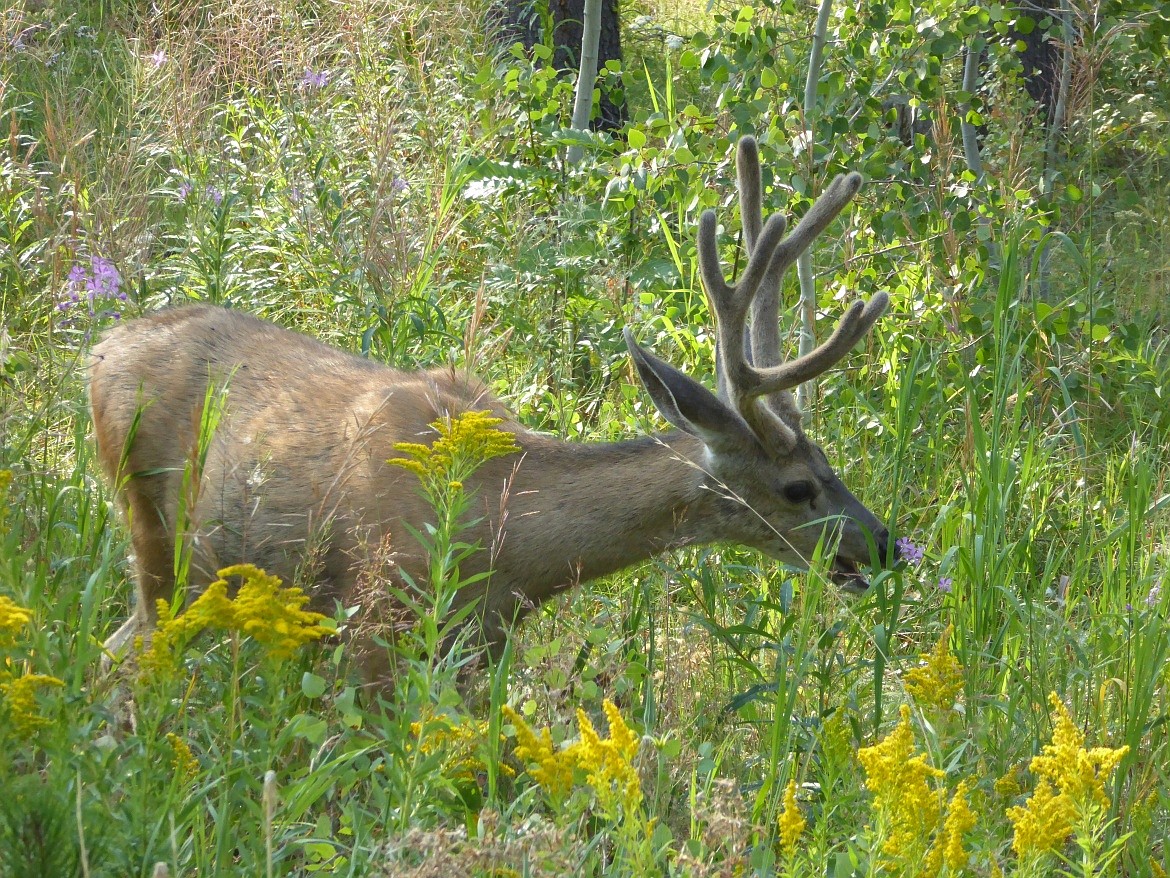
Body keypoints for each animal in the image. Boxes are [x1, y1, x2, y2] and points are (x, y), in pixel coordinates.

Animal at [88, 137, 893, 688]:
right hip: (151, 530)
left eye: (831, 463)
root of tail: (101, 348)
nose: (887, 545)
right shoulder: (375, 620)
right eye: (798, 487)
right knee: (128, 652)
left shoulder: (485, 643)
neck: (511, 535)